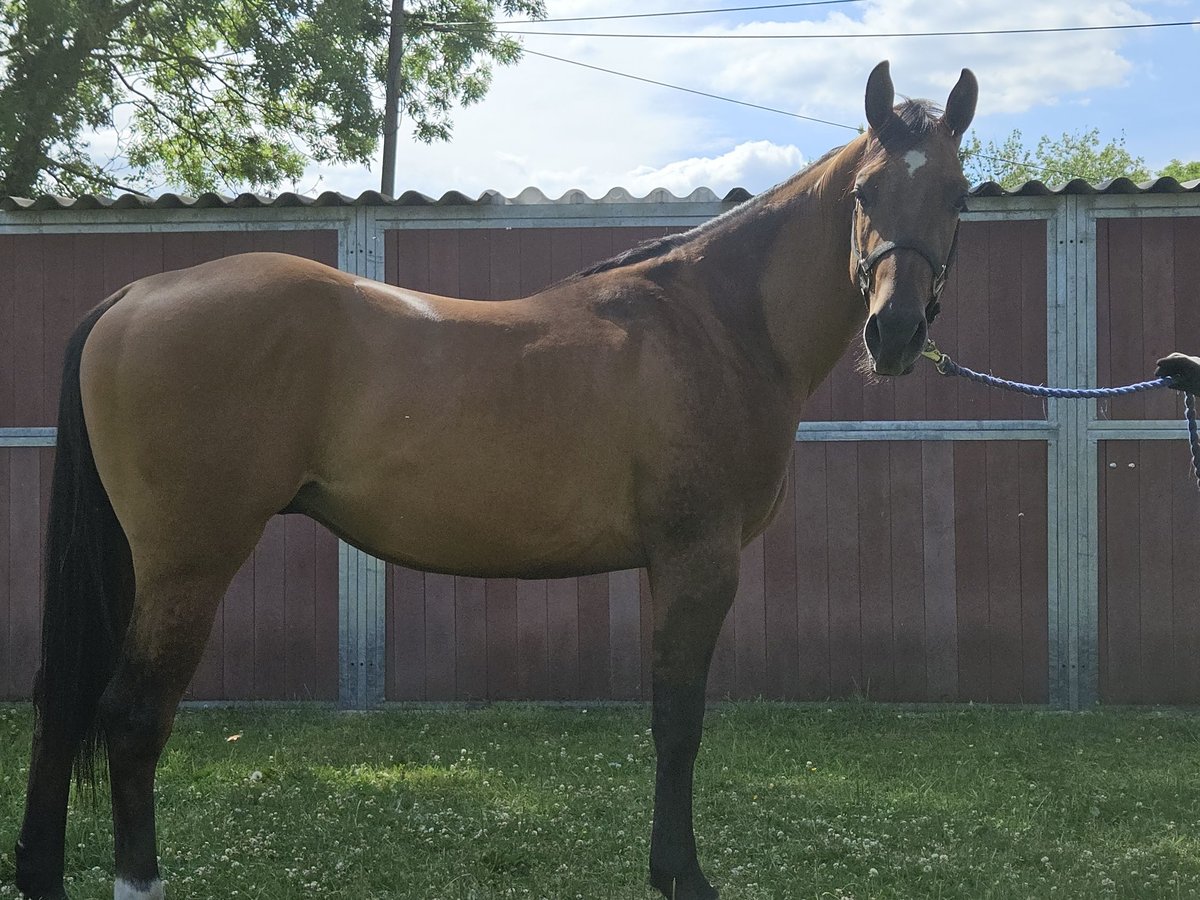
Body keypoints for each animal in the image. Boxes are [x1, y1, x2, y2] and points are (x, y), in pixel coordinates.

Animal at [14, 60, 977, 900]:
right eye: (864, 193)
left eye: (957, 195)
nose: (894, 333)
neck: (713, 324)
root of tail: (133, 297)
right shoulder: (697, 561)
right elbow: (679, 721)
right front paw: (683, 876)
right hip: (188, 562)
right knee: (132, 715)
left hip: (130, 563)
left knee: (62, 705)